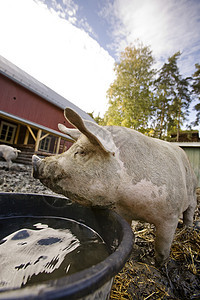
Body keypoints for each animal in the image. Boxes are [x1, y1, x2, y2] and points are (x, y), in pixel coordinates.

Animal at [32, 108, 197, 264]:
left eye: (80, 151)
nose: (36, 162)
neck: (128, 202)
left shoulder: (170, 215)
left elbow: (162, 247)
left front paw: (158, 263)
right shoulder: (124, 213)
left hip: (193, 191)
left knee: (191, 210)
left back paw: (188, 228)